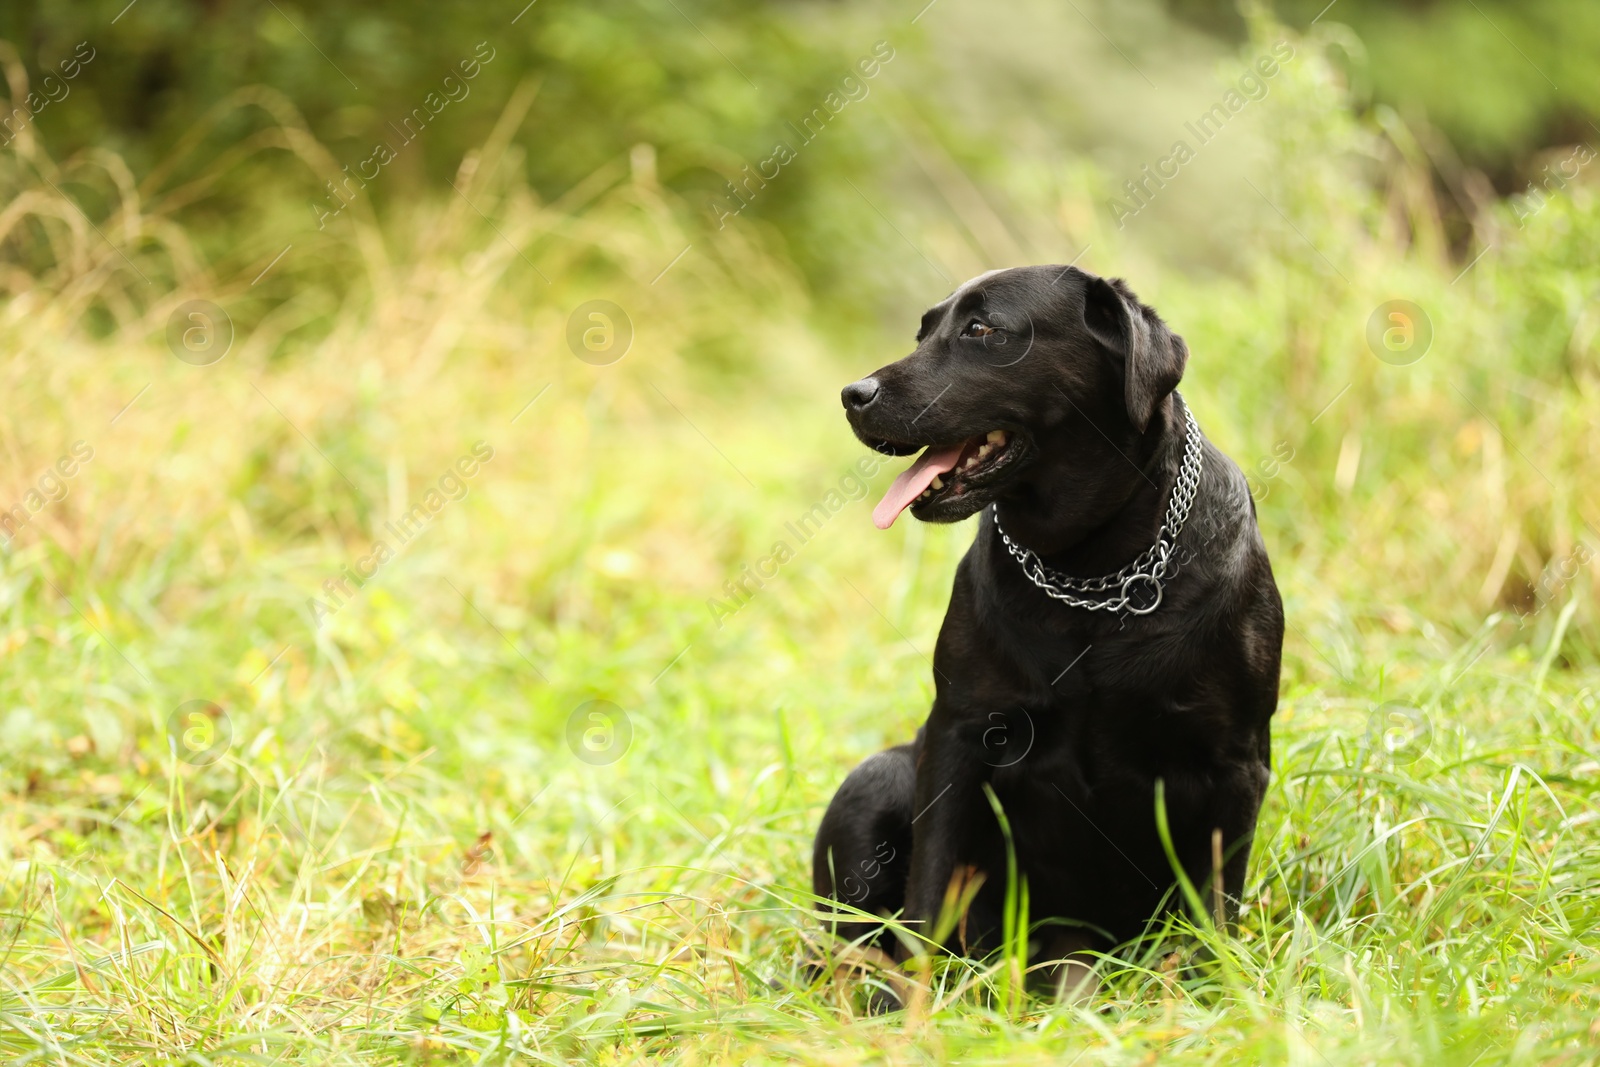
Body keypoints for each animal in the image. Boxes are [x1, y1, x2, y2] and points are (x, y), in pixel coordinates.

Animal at [819, 262, 1280, 998]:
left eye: (983, 329)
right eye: (924, 331)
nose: (852, 394)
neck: (1088, 572)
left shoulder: (1236, 760)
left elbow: (1215, 902)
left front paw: (1213, 997)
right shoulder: (957, 735)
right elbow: (929, 888)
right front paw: (914, 999)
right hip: (876, 779)